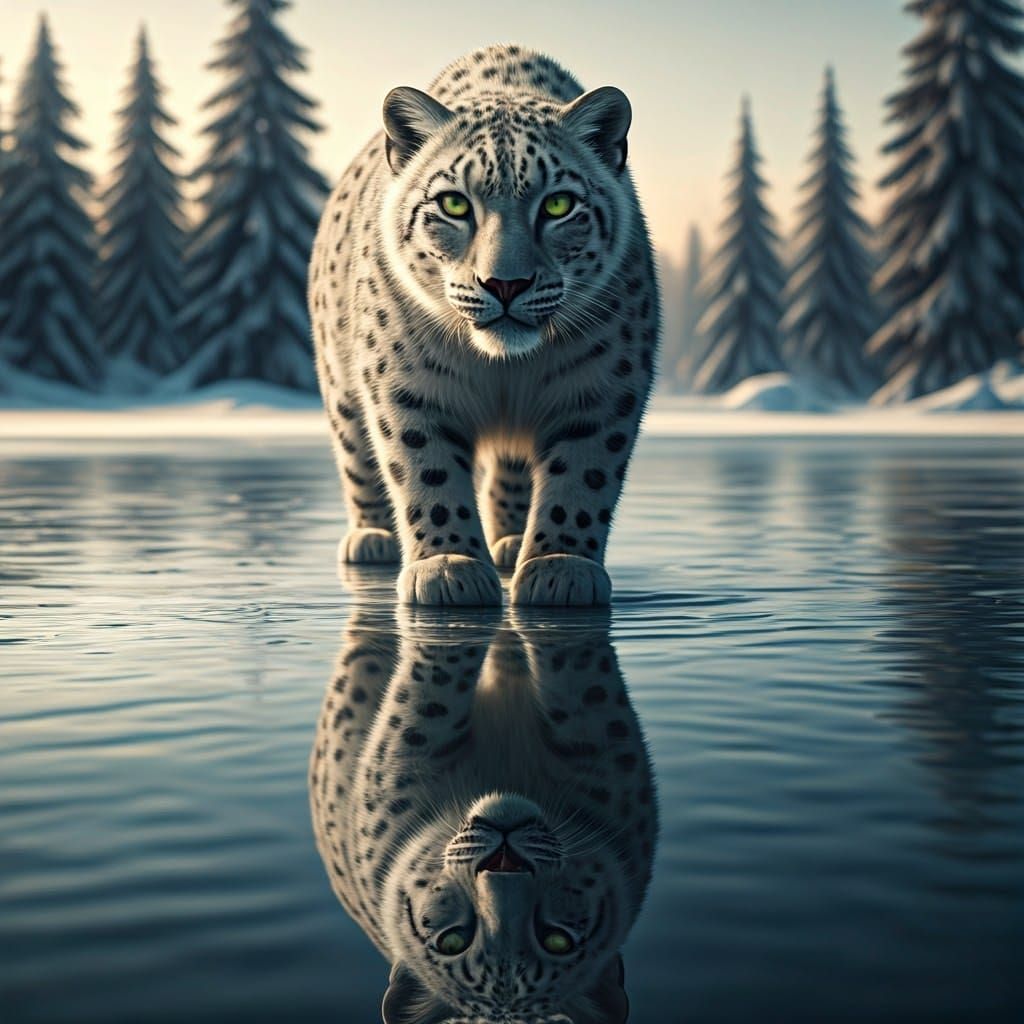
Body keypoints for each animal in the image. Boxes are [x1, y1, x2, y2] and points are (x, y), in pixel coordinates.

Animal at [308, 44, 660, 607]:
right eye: (453, 203)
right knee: (355, 455)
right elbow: (426, 472)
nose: (505, 283)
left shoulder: (602, 388)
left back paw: (512, 542)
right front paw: (448, 567)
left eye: (558, 204)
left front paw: (560, 568)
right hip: (341, 387)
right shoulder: (408, 388)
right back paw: (373, 539)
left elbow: (582, 478)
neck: (503, 370)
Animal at [309, 603, 657, 1023]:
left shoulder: (613, 778)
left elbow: (580, 679)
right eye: (452, 940)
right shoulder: (397, 772)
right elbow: (429, 703)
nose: (505, 861)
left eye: (558, 939)